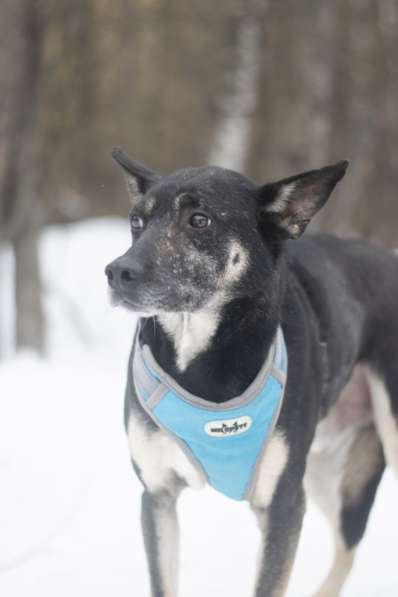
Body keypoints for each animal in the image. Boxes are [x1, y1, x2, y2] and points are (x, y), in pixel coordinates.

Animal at [105, 146, 398, 596]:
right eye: (137, 221)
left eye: (199, 219)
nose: (117, 272)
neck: (202, 360)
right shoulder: (158, 496)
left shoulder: (283, 506)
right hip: (325, 467)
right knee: (346, 550)